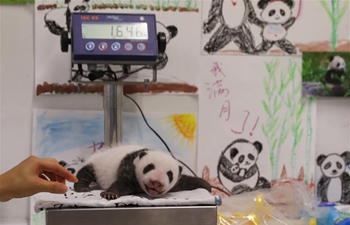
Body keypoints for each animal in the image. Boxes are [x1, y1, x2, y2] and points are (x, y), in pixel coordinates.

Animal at [74, 144, 211, 199]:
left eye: (170, 174)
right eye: (149, 167)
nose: (156, 182)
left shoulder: (177, 183)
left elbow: (188, 181)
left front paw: (207, 186)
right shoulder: (130, 167)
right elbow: (122, 183)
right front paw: (110, 194)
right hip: (97, 164)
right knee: (85, 173)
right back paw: (82, 187)